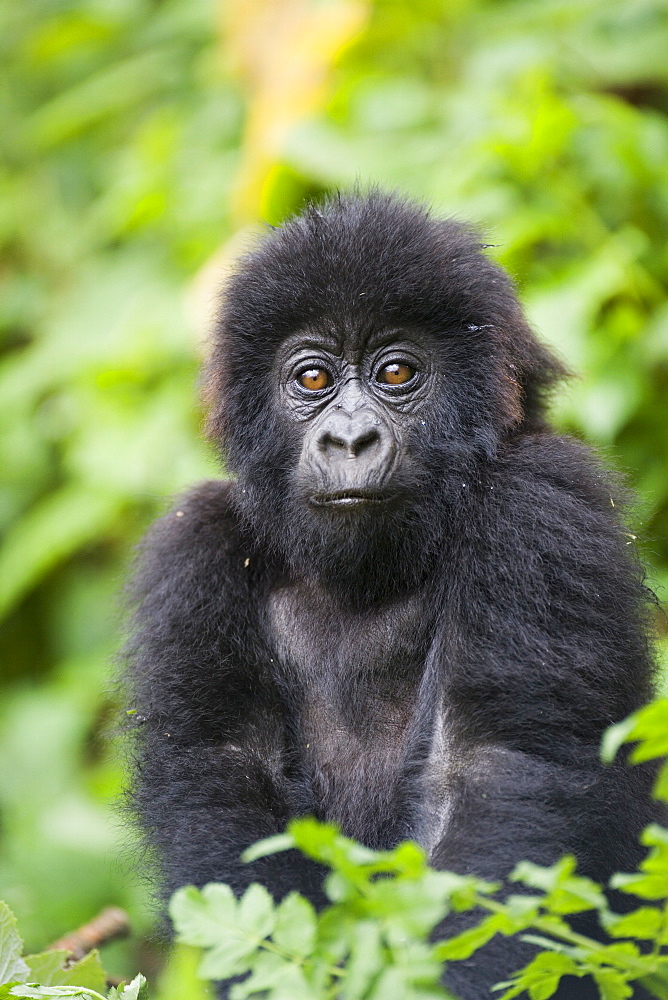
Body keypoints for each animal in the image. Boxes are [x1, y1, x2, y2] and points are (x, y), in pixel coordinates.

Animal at [125, 191, 656, 996]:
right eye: (313, 380)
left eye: (397, 371)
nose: (349, 440)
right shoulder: (195, 546)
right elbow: (222, 777)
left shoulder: (538, 507)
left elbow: (486, 770)